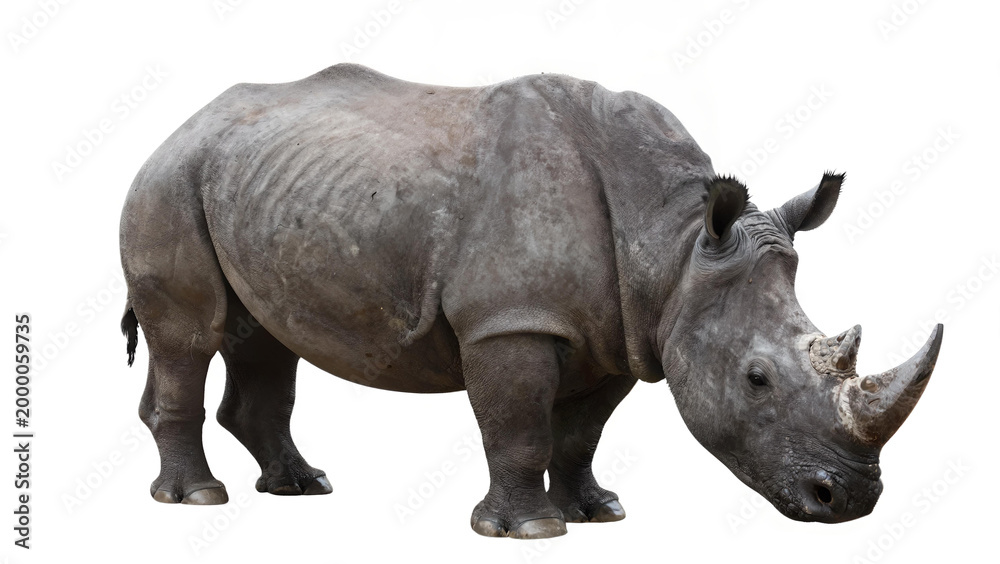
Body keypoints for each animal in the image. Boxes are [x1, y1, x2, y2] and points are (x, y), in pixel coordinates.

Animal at [119, 64, 942, 539]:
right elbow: (516, 426)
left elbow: (580, 433)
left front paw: (599, 513)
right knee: (190, 334)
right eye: (757, 379)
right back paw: (197, 500)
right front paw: (530, 531)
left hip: (252, 181)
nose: (851, 501)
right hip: (170, 181)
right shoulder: (507, 323)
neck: (672, 244)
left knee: (262, 339)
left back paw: (300, 487)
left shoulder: (623, 331)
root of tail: (180, 124)